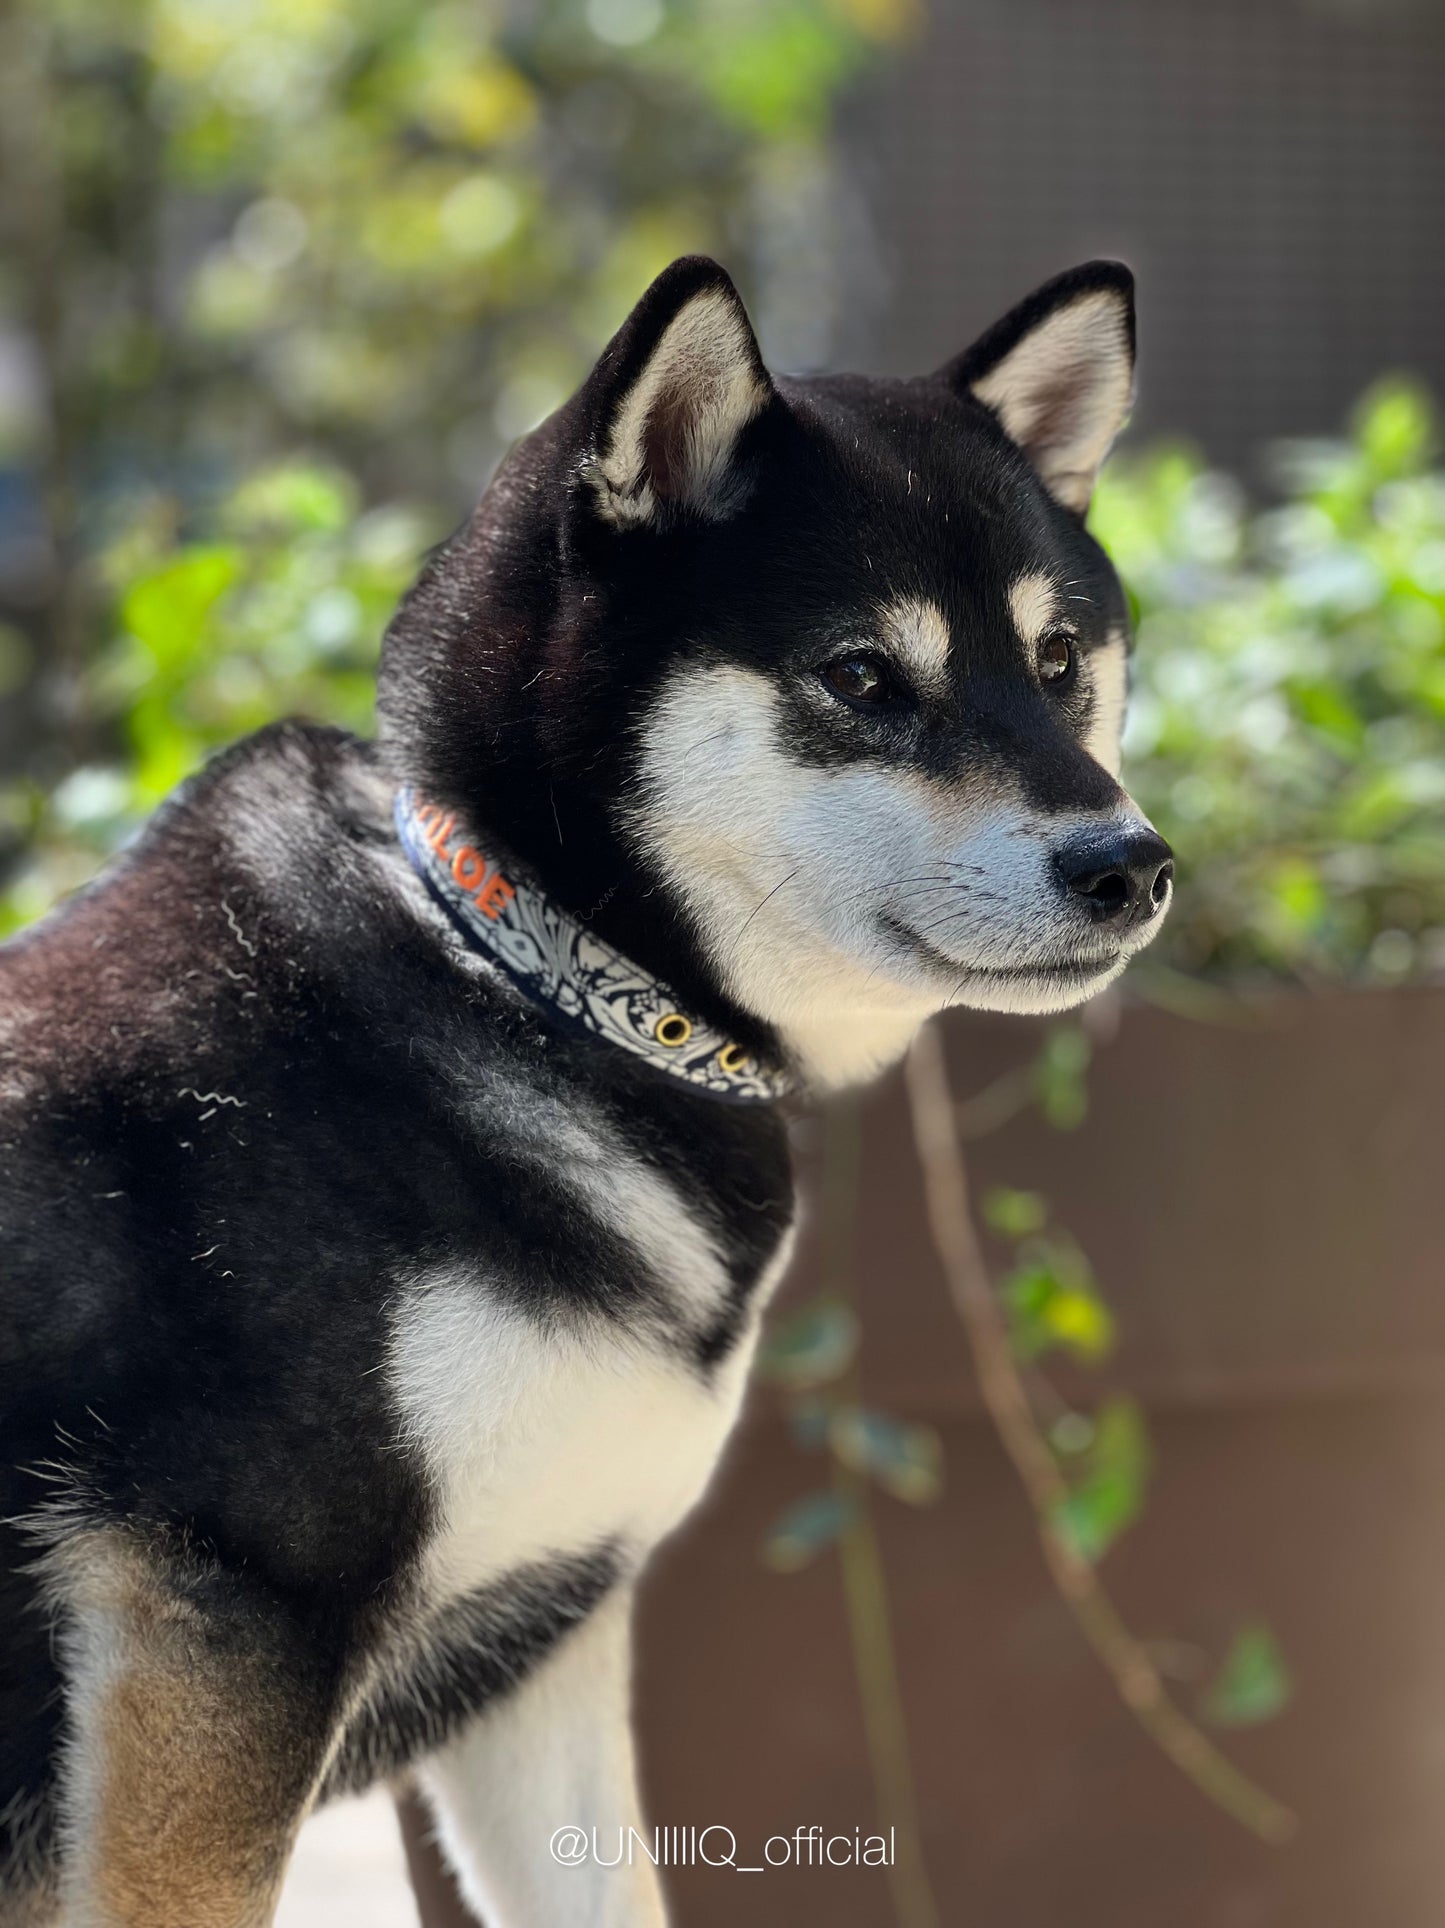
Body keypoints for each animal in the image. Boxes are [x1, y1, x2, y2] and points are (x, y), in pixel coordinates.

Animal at [0, 260, 1172, 1928]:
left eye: (1060, 659)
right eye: (861, 677)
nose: (1129, 865)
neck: (526, 978)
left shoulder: (537, 1645)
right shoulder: (220, 1614)